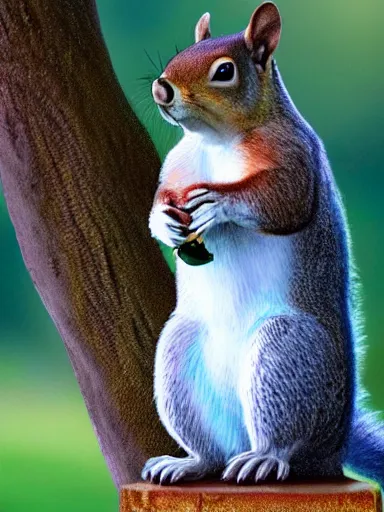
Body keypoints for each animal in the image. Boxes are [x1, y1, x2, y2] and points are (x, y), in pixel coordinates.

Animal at [141, 1, 384, 488]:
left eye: (224, 71)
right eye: (182, 52)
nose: (162, 88)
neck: (217, 141)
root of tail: (332, 452)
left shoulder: (294, 158)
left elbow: (281, 202)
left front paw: (218, 204)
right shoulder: (176, 167)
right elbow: (159, 204)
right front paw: (166, 222)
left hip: (286, 358)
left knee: (284, 442)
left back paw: (266, 459)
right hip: (178, 360)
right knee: (212, 453)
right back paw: (188, 463)